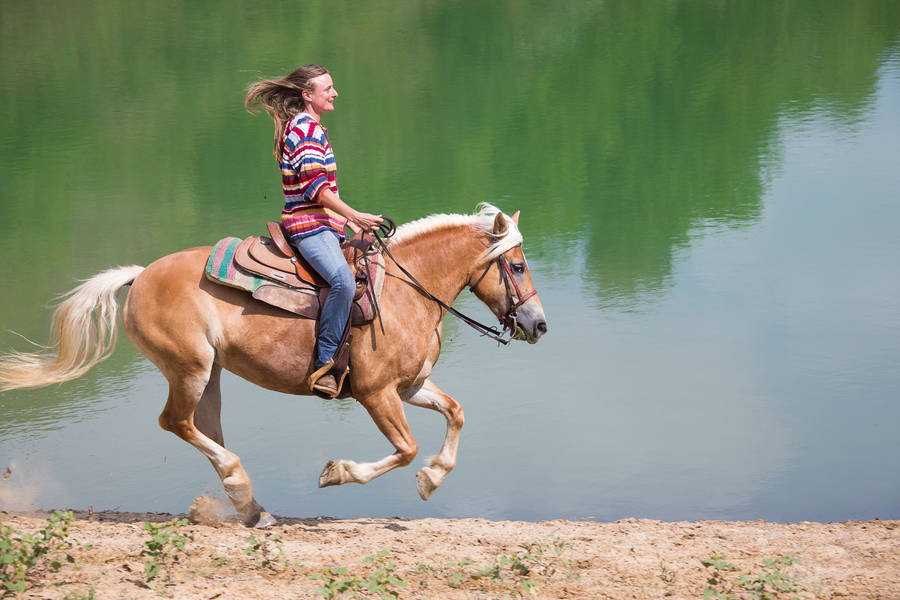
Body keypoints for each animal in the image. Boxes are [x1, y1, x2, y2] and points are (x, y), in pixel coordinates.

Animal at [0, 204, 547, 527]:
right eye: (518, 266)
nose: (539, 325)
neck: (406, 291)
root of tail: (140, 276)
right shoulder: (376, 393)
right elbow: (406, 448)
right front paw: (337, 472)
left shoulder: (410, 387)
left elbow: (456, 413)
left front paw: (433, 479)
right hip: (189, 368)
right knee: (176, 422)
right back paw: (241, 487)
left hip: (210, 375)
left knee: (205, 428)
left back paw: (250, 506)